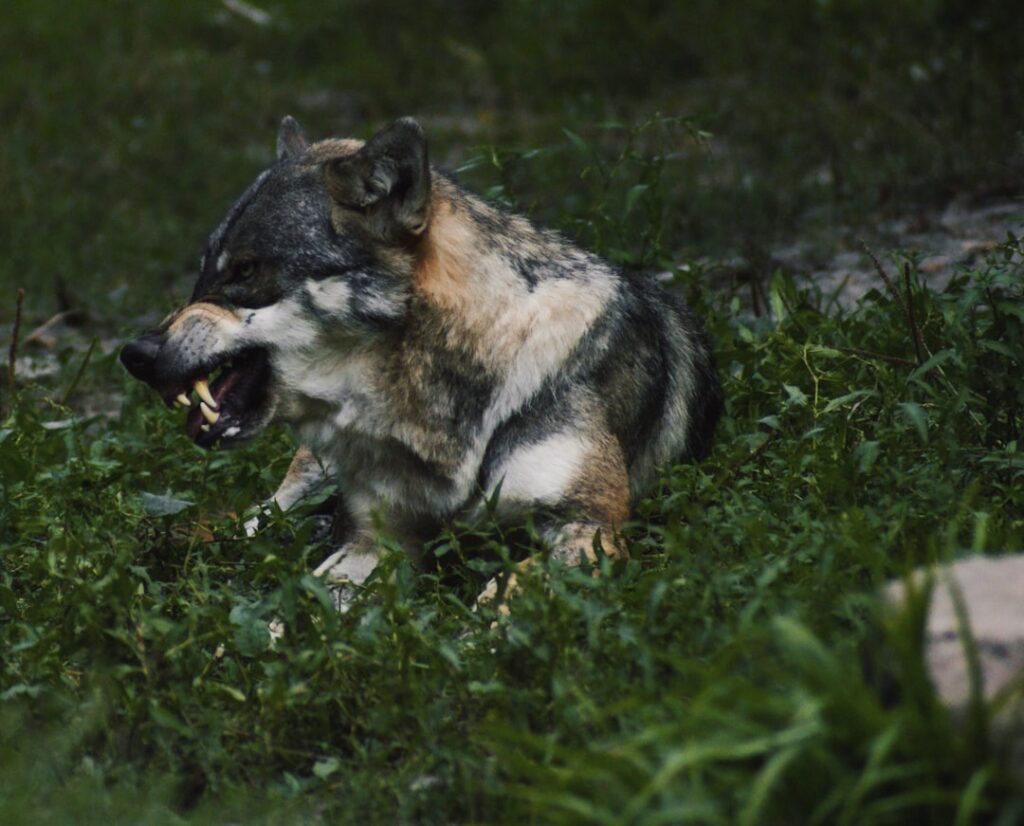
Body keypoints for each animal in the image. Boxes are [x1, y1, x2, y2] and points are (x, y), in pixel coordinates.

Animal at [120, 116, 722, 608]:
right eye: (203, 271)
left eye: (245, 270)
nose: (135, 354)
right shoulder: (376, 542)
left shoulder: (590, 527)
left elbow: (502, 597)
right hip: (301, 485)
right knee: (249, 526)